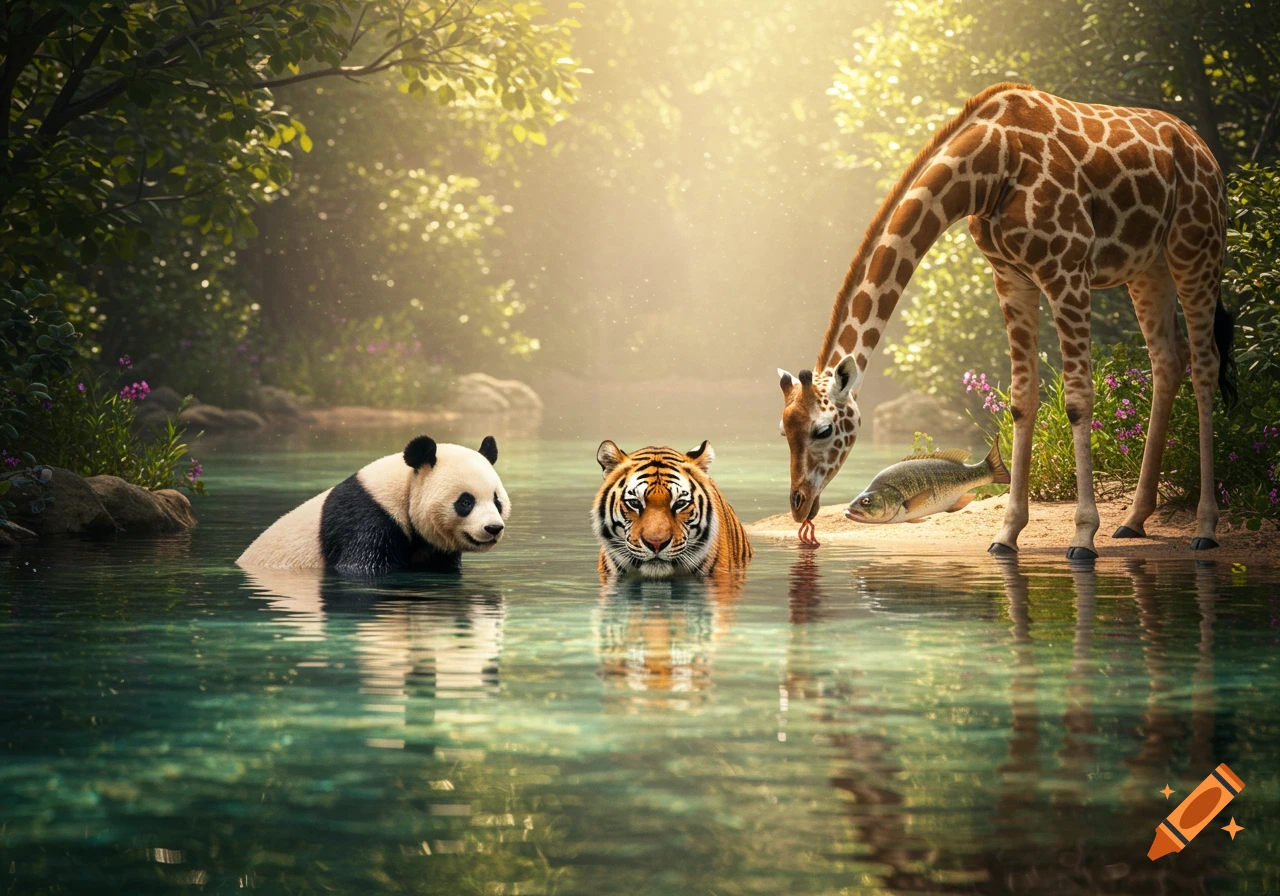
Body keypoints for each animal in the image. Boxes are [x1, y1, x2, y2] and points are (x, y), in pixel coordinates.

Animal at [236, 435, 510, 575]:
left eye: (496, 501)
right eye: (465, 501)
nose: (493, 528)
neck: (404, 488)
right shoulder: (367, 520)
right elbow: (364, 565)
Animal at [778, 83, 1237, 558]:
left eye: (823, 430)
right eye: (783, 430)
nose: (798, 504)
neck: (987, 170)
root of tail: (1207, 153)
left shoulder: (1067, 270)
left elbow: (1077, 399)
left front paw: (1083, 536)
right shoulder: (1010, 277)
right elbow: (1021, 400)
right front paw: (1007, 534)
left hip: (1195, 248)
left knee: (1206, 362)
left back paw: (1205, 527)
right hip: (1149, 267)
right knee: (1168, 358)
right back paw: (1133, 520)